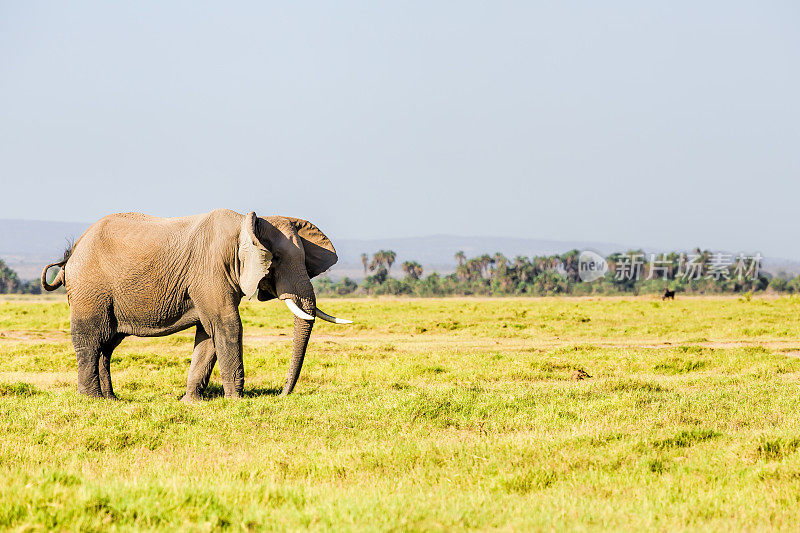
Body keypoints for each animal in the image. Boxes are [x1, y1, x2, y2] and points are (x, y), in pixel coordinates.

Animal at [40, 208, 352, 400]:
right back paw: (91, 399)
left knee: (107, 344)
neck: (248, 222)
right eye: (275, 260)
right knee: (91, 340)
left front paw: (190, 402)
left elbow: (209, 334)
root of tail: (72, 252)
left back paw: (111, 399)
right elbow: (227, 326)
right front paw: (236, 401)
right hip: (90, 288)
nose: (283, 395)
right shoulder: (210, 271)